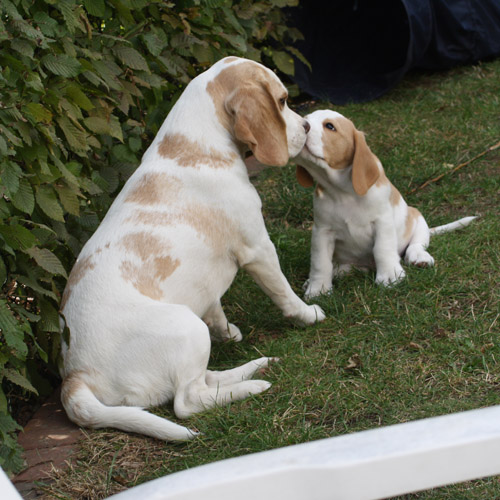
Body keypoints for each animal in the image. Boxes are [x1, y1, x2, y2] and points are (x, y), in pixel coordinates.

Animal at [59, 56, 324, 442]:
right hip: (187, 327)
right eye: (282, 100)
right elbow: (284, 294)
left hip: (193, 334)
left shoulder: (208, 285)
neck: (194, 147)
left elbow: (215, 308)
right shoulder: (258, 249)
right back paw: (251, 386)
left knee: (203, 380)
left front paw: (229, 333)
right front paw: (308, 315)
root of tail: (74, 377)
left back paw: (252, 368)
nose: (305, 125)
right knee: (187, 401)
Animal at [296, 110, 476, 296]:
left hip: (417, 219)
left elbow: (382, 249)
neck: (342, 192)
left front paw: (390, 276)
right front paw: (318, 289)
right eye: (305, 118)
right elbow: (320, 263)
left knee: (416, 245)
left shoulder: (383, 222)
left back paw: (419, 257)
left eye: (330, 126)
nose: (303, 125)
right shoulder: (322, 231)